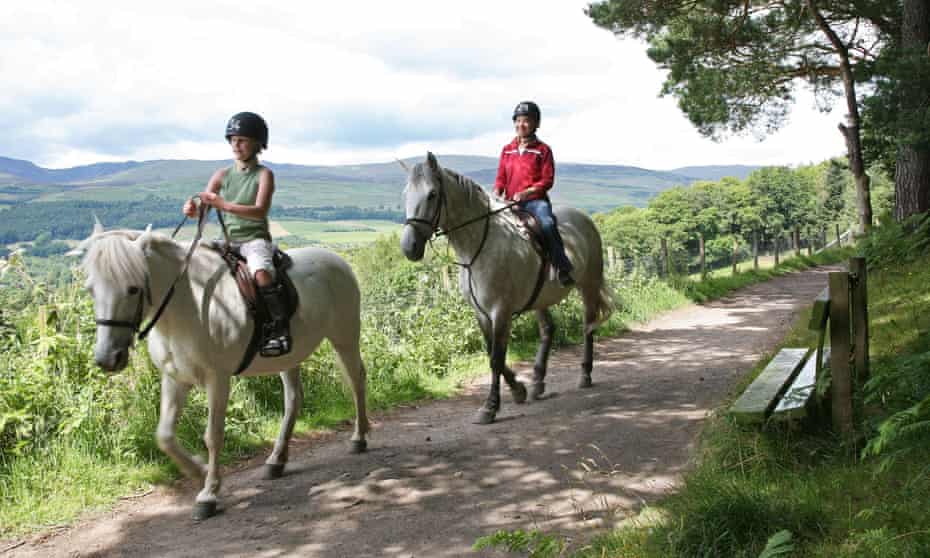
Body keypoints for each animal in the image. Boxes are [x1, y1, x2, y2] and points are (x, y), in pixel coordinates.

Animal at [76, 223, 368, 520]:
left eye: (133, 289)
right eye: (90, 290)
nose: (107, 358)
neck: (187, 306)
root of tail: (338, 260)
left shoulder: (217, 380)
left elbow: (213, 436)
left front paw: (209, 493)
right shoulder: (174, 379)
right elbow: (165, 436)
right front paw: (199, 471)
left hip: (344, 338)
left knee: (356, 380)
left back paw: (359, 438)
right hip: (290, 356)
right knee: (293, 399)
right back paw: (276, 460)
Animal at [396, 153, 608, 424]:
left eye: (432, 194)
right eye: (406, 194)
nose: (409, 247)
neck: (478, 248)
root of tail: (584, 218)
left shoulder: (501, 310)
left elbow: (497, 359)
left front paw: (490, 407)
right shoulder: (481, 313)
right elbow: (491, 353)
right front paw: (519, 389)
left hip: (589, 285)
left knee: (588, 327)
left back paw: (585, 375)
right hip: (539, 298)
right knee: (548, 330)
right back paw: (537, 382)